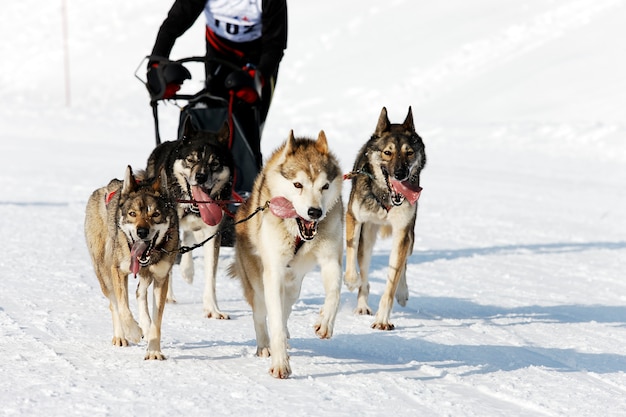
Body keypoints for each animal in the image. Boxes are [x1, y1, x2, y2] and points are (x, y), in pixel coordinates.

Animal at [83, 165, 178, 358]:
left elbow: (157, 321)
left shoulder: (161, 278)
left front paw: (154, 350)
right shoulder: (119, 271)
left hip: (146, 275)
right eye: (132, 214)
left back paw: (145, 326)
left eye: (156, 214)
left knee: (139, 293)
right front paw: (133, 332)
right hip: (104, 273)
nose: (142, 232)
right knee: (114, 303)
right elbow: (123, 307)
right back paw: (121, 336)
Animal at [145, 122, 233, 316]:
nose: (201, 177)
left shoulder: (213, 233)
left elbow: (211, 274)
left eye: (215, 163)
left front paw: (212, 308)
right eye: (191, 160)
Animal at [229, 132, 344, 378]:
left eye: (325, 186)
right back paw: (264, 345)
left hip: (293, 289)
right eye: (298, 184)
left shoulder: (331, 260)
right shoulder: (273, 273)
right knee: (261, 315)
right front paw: (280, 363)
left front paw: (325, 322)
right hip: (257, 284)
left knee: (285, 309)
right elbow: (274, 323)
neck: (298, 233)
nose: (315, 212)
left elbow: (335, 293)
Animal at [344, 106, 426, 328]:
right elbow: (351, 255)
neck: (386, 198)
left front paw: (382, 319)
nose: (400, 173)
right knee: (364, 271)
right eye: (387, 152)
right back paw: (362, 304)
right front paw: (351, 280)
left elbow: (393, 278)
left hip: (410, 237)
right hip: (368, 236)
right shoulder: (354, 218)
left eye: (409, 152)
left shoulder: (402, 232)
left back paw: (402, 292)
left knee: (403, 264)